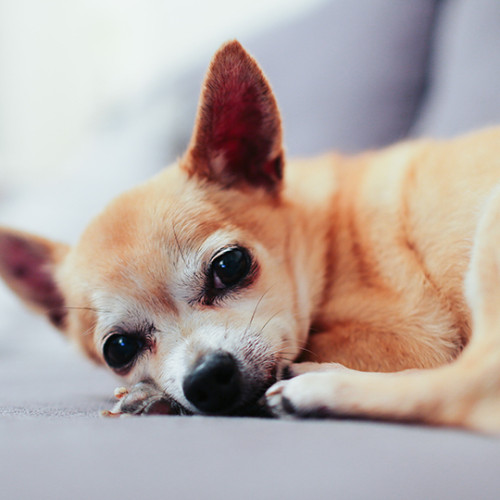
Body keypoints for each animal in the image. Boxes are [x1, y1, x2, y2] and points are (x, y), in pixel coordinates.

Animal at [0, 40, 500, 430]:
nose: (204, 377)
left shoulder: (409, 340)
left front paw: (154, 396)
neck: (323, 237)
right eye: (118, 350)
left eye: (230, 265)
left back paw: (315, 387)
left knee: (466, 388)